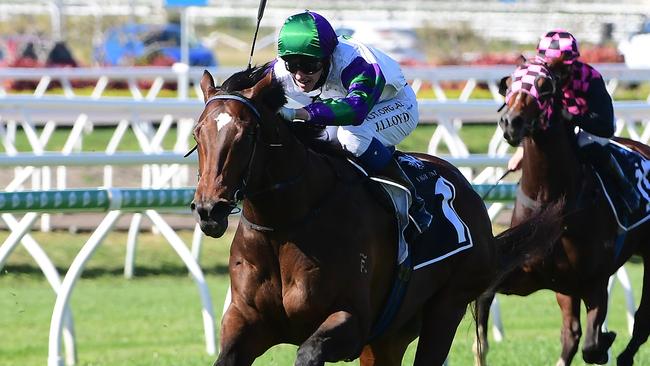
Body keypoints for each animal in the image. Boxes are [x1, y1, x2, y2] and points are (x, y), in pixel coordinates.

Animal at [189, 64, 560, 364]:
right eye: (198, 131)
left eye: (245, 133)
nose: (209, 209)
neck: (285, 226)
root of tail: (468, 190)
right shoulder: (246, 323)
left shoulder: (351, 321)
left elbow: (308, 352)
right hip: (390, 336)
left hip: (446, 308)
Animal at [470, 60, 648, 366]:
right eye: (511, 83)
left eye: (544, 87)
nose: (511, 122)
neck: (550, 200)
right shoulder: (529, 274)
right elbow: (486, 293)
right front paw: (480, 345)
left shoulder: (594, 280)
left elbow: (592, 344)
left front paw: (606, 341)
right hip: (565, 287)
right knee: (571, 333)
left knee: (640, 320)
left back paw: (624, 355)